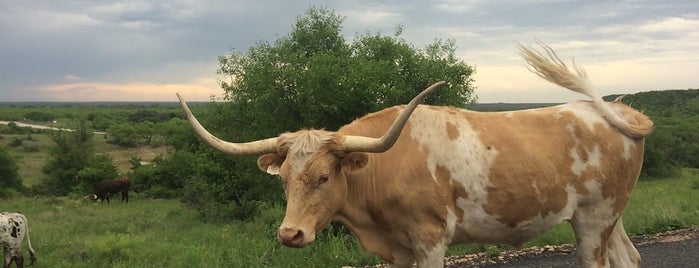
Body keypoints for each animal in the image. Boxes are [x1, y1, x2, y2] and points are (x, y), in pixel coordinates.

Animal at [178, 43, 652, 266]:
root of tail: (612, 109)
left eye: (324, 177)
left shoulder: (430, 241)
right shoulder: (401, 250)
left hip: (594, 219)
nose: (290, 234)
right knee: (628, 258)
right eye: (282, 179)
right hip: (608, 216)